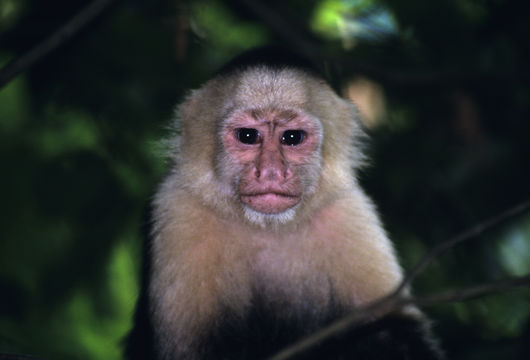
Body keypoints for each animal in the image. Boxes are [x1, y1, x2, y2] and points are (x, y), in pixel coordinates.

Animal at [125, 48, 442, 360]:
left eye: (292, 137)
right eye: (248, 136)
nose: (271, 173)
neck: (267, 227)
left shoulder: (349, 211)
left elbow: (392, 332)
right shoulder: (177, 208)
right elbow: (189, 351)